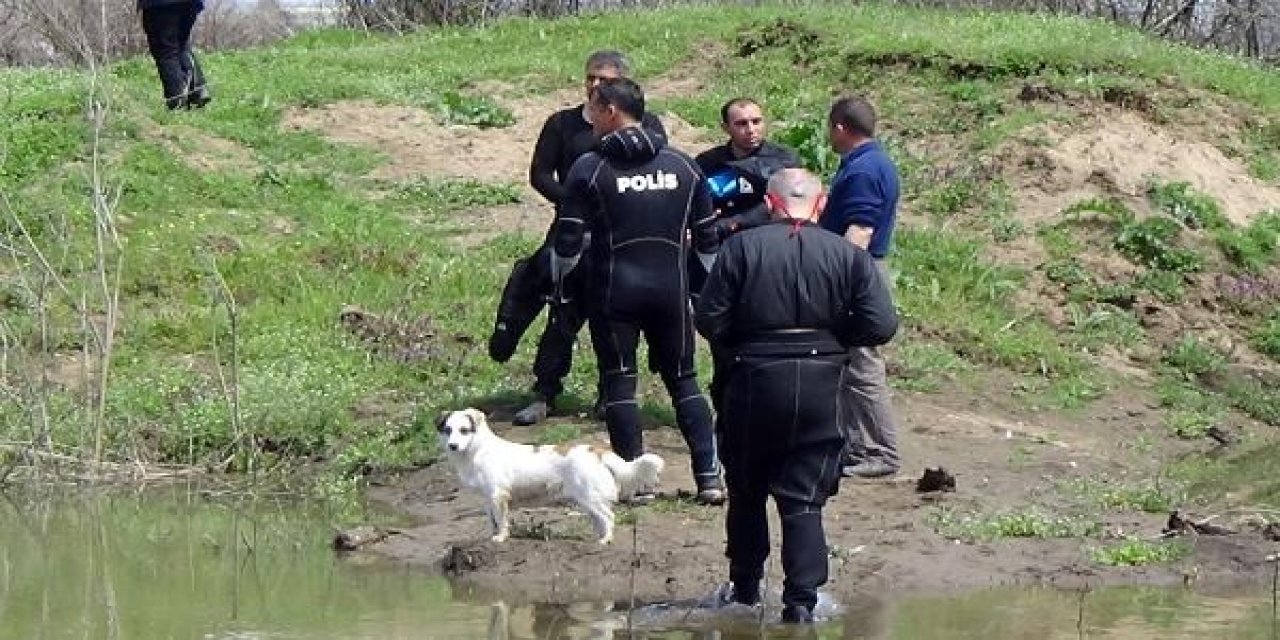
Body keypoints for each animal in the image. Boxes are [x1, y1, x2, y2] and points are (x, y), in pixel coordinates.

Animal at [437, 407, 665, 542]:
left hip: (589, 498)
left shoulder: (497, 495)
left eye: (464, 430)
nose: (453, 446)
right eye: (448, 430)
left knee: (609, 517)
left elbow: (501, 521)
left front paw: (501, 537)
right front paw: (492, 535)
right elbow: (491, 520)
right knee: (601, 519)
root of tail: (596, 450)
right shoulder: (487, 499)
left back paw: (604, 541)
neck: (478, 450)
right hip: (587, 501)